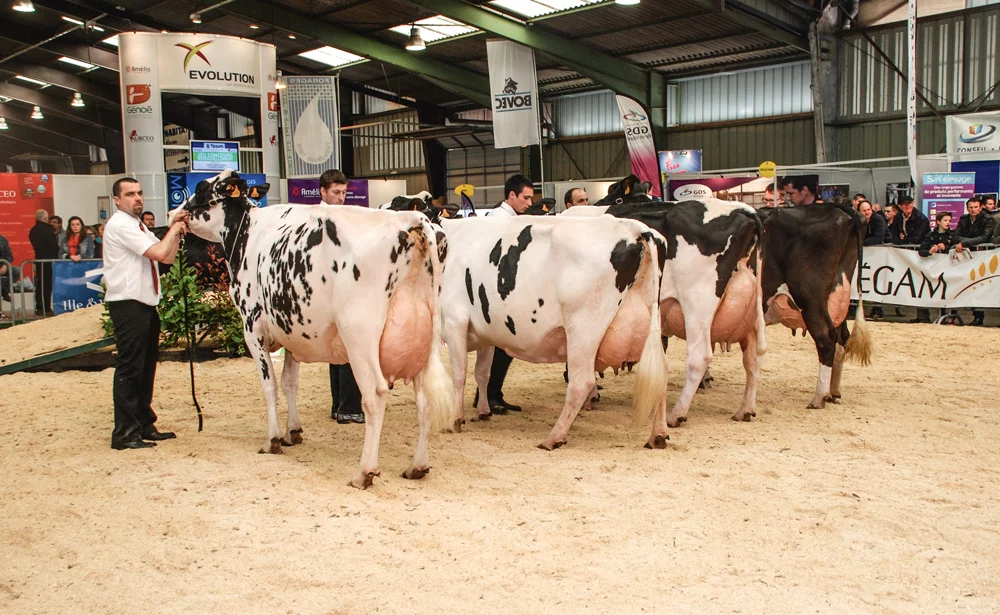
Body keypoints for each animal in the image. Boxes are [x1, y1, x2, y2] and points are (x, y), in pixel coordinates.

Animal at [172, 171, 450, 488]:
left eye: (200, 189)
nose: (174, 214)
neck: (247, 235)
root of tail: (412, 220)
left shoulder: (252, 328)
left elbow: (270, 385)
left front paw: (272, 439)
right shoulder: (292, 335)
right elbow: (289, 382)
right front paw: (292, 431)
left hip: (359, 336)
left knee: (375, 395)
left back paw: (364, 472)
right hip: (429, 338)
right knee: (425, 401)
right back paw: (417, 466)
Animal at [440, 214, 668, 450]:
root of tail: (634, 228)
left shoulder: (454, 320)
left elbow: (459, 374)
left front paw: (454, 420)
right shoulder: (484, 333)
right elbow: (482, 373)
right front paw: (483, 412)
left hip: (583, 328)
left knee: (581, 382)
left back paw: (554, 437)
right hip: (649, 323)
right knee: (660, 375)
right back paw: (658, 435)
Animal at [760, 205, 872, 412]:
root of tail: (838, 207)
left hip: (810, 298)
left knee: (826, 338)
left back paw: (818, 398)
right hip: (839, 299)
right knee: (841, 339)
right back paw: (833, 392)